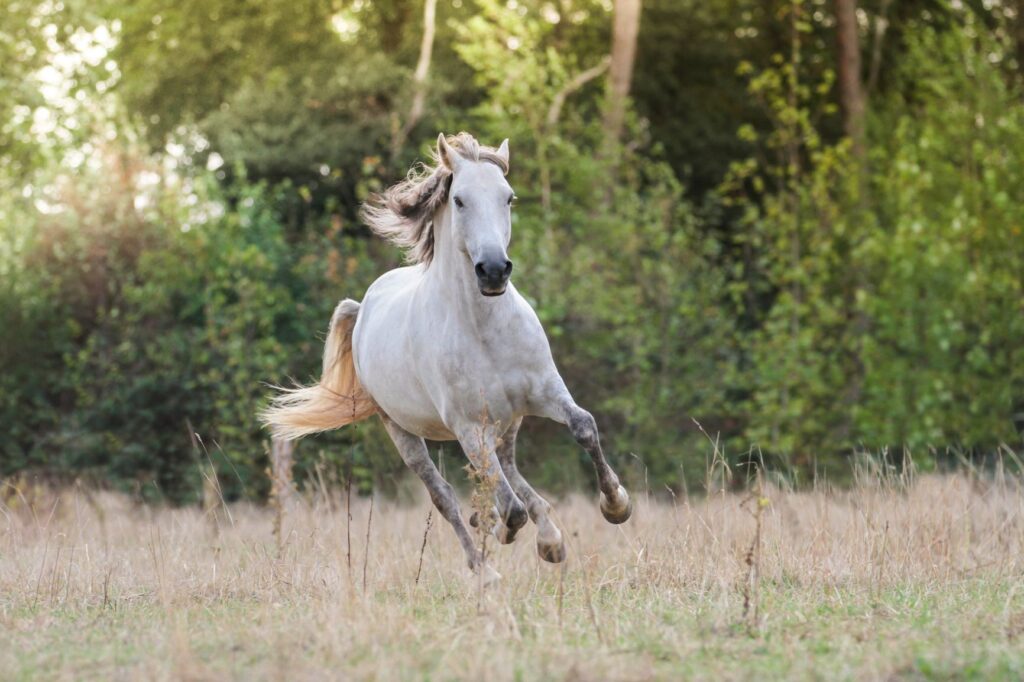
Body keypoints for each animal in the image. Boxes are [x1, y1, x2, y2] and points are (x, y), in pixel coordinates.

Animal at [262, 133, 630, 573]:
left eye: (509, 197)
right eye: (459, 200)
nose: (493, 270)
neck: (484, 330)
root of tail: (364, 306)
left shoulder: (545, 392)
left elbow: (584, 427)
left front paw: (616, 505)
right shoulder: (469, 427)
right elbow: (509, 509)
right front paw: (499, 528)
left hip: (508, 420)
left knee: (510, 470)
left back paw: (547, 539)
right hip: (404, 429)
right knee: (449, 497)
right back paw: (487, 567)